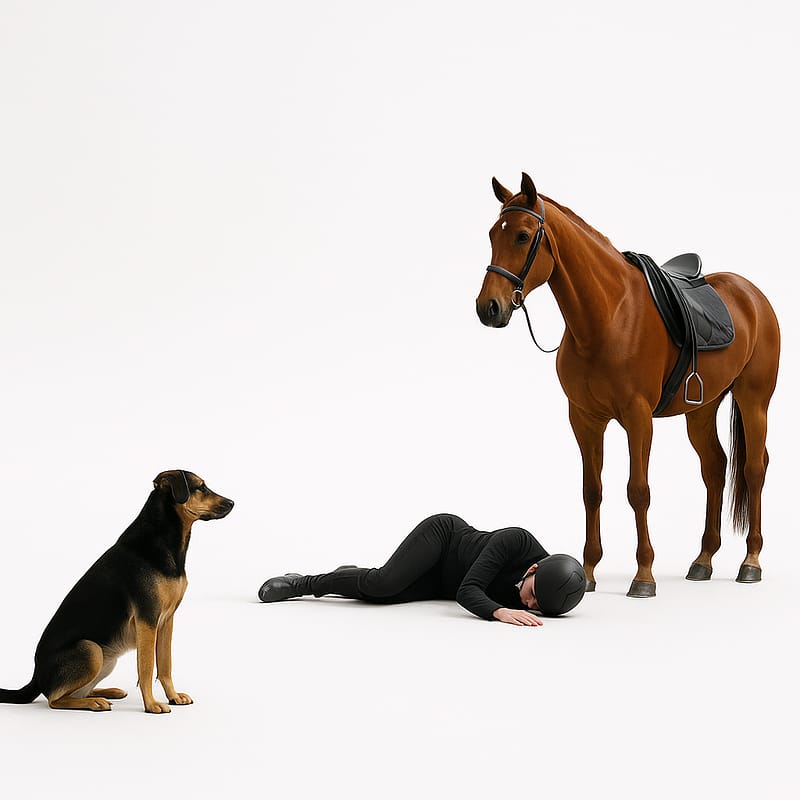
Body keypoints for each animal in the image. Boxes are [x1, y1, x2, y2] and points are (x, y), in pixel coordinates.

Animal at [475, 173, 780, 598]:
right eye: (492, 234)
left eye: (522, 236)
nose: (488, 308)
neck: (606, 317)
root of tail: (752, 295)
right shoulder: (585, 419)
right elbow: (592, 491)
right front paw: (587, 572)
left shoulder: (638, 418)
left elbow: (638, 491)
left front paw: (644, 576)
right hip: (701, 411)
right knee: (715, 468)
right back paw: (703, 560)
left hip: (754, 401)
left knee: (753, 469)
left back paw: (750, 561)